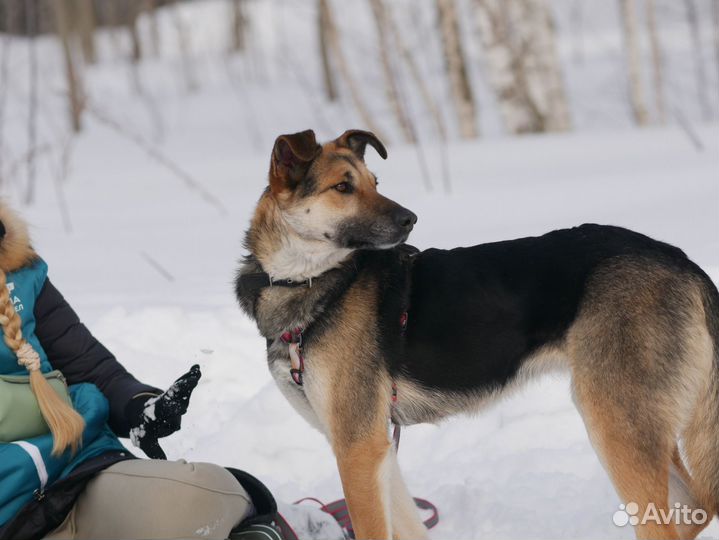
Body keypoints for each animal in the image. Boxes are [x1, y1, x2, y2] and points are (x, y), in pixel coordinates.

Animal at [236, 129, 719, 536]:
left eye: (375, 181)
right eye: (343, 187)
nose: (411, 218)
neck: (307, 282)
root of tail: (684, 263)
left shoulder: (356, 448)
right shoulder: (375, 449)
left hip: (616, 423)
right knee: (693, 508)